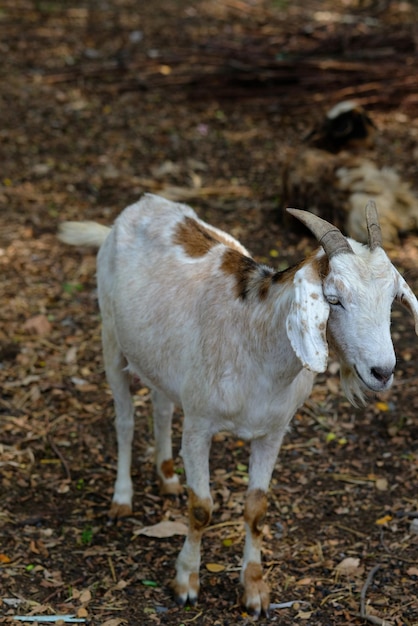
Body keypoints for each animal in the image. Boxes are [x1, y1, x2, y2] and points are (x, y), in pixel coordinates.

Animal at [58, 195, 418, 616]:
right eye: (334, 299)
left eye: (392, 298)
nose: (383, 371)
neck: (255, 342)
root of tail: (143, 204)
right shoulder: (199, 426)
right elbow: (201, 508)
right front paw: (186, 582)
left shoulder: (273, 433)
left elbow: (256, 509)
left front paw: (255, 589)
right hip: (111, 338)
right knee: (124, 420)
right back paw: (122, 499)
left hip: (160, 359)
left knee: (161, 407)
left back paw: (167, 478)